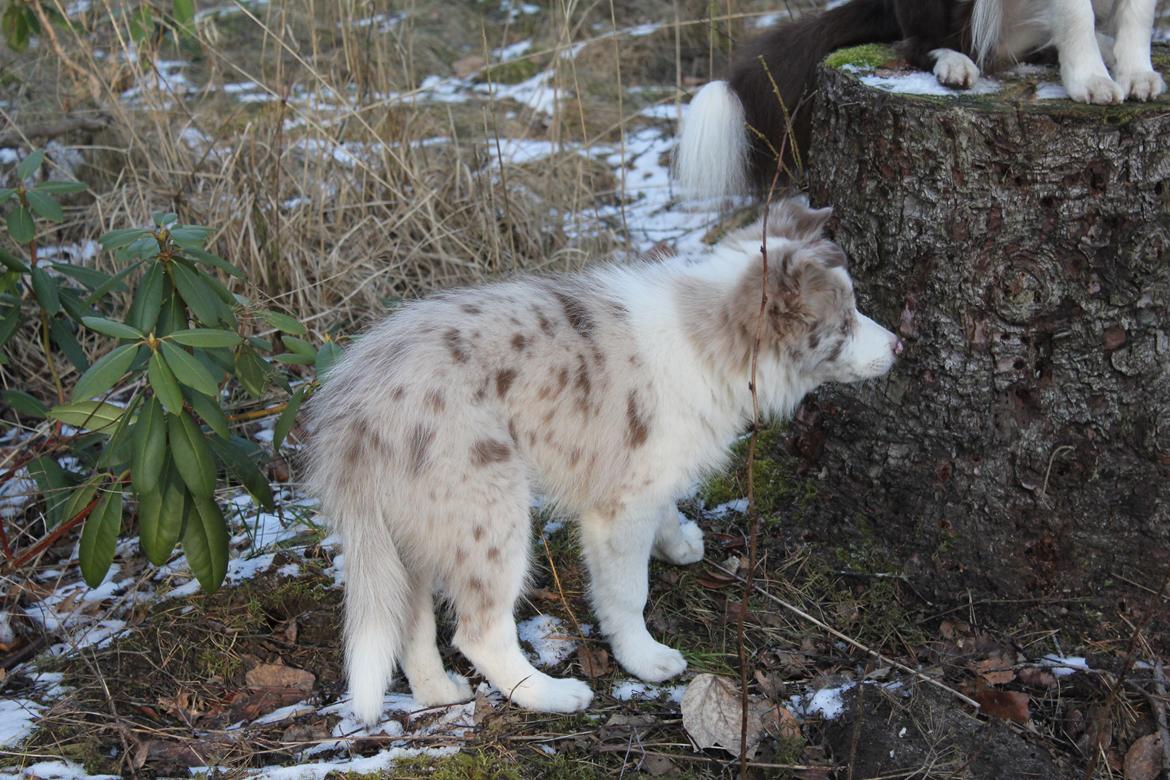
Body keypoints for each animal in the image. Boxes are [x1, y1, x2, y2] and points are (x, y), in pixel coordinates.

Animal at [306, 199, 898, 725]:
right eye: (845, 321)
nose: (898, 344)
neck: (706, 339)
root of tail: (352, 409)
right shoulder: (619, 505)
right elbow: (626, 593)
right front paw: (644, 658)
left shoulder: (649, 472)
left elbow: (666, 508)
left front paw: (679, 542)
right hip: (486, 513)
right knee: (478, 631)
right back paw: (549, 694)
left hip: (416, 523)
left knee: (408, 619)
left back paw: (436, 692)